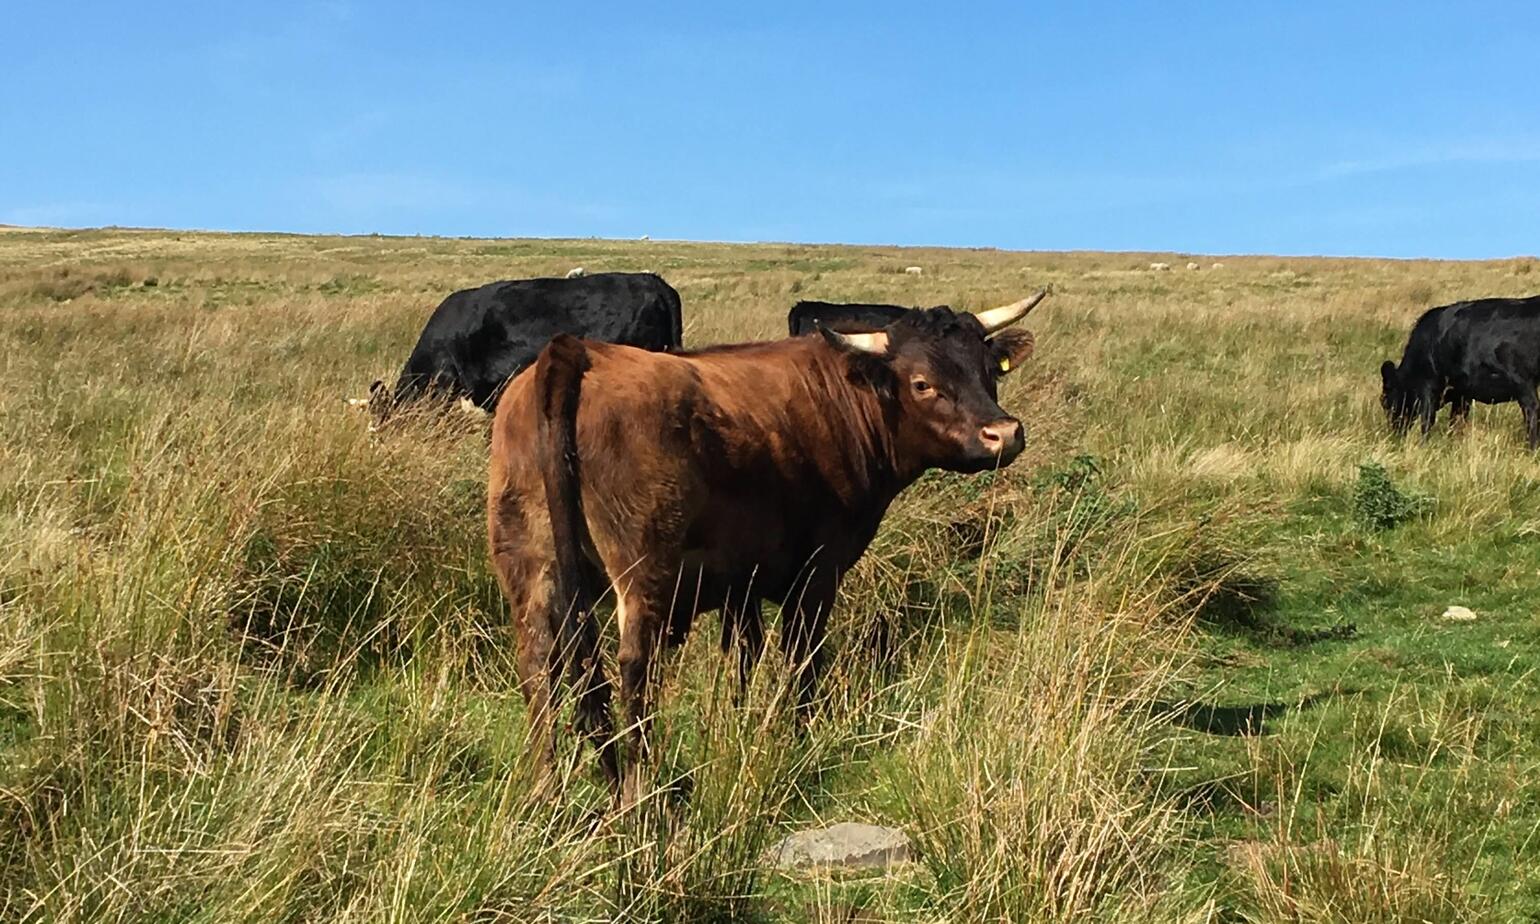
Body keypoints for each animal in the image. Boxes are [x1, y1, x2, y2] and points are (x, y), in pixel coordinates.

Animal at [487, 292, 1046, 803]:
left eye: (988, 371)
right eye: (922, 383)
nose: (1004, 433)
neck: (845, 399)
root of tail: (575, 351)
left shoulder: (740, 582)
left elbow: (744, 657)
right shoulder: (817, 574)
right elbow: (801, 658)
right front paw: (798, 736)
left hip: (528, 566)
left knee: (538, 665)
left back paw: (546, 792)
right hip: (643, 571)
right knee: (633, 669)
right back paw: (639, 791)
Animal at [1380, 295, 1540, 447]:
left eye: (1385, 402)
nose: (1394, 435)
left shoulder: (1428, 387)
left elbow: (1427, 421)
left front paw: (1423, 446)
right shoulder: (1462, 394)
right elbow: (1456, 422)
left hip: (1523, 382)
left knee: (1531, 411)